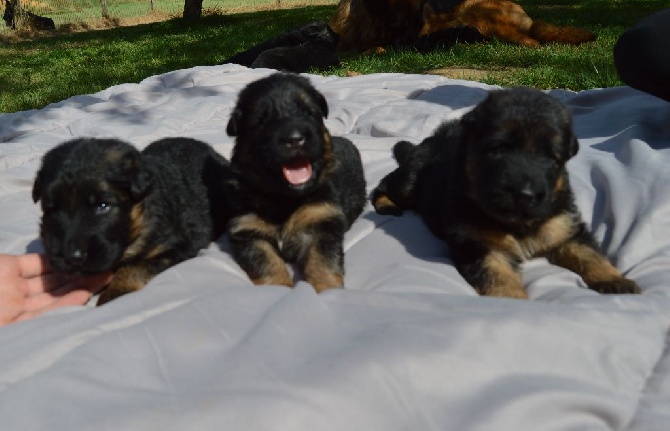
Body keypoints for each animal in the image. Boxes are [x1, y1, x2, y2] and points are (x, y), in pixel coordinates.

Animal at [32, 137, 232, 306]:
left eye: (103, 206)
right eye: (51, 209)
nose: (71, 257)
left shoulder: (175, 247)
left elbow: (134, 266)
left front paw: (114, 292)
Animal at [226, 72, 368, 294]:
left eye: (308, 112)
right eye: (261, 120)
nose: (294, 139)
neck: (284, 199)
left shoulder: (320, 222)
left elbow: (322, 264)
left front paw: (328, 291)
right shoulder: (249, 230)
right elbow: (267, 264)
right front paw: (278, 290)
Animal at [376, 88, 644, 300]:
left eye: (552, 158)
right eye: (498, 149)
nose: (525, 195)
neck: (517, 224)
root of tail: (434, 137)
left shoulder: (566, 229)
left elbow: (591, 255)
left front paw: (615, 280)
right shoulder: (482, 246)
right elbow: (499, 275)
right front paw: (512, 301)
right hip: (410, 181)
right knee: (384, 185)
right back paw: (386, 204)